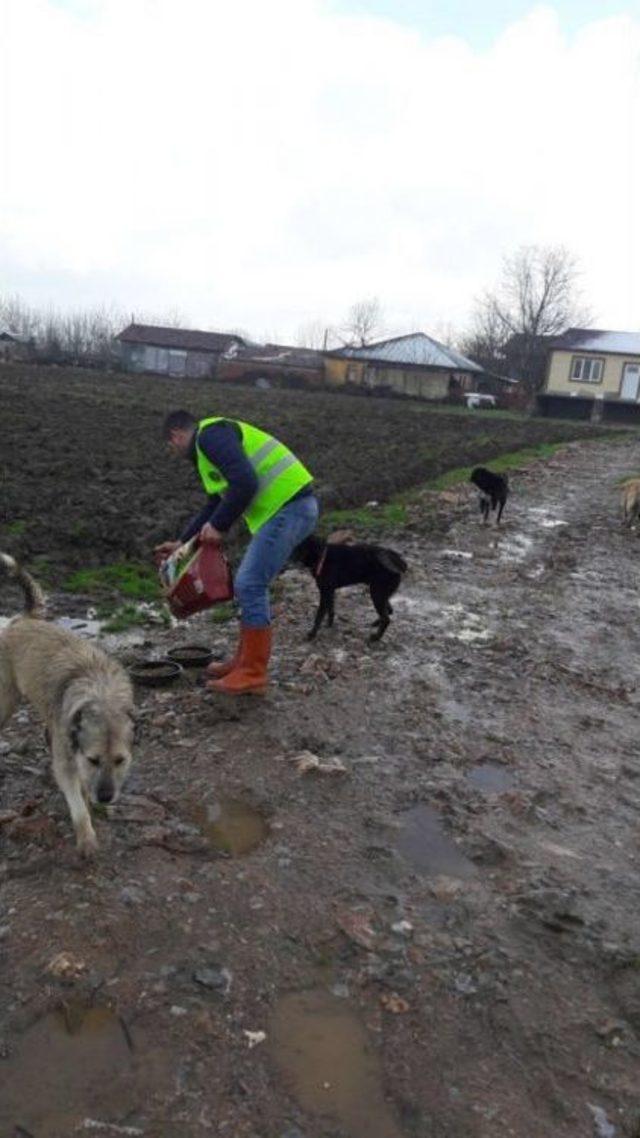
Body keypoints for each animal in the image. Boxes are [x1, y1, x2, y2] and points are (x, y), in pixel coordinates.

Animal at [0, 550, 134, 855]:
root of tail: (23, 619)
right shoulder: (67, 763)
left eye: (120, 760)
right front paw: (86, 836)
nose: (105, 797)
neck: (101, 693)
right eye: (94, 759)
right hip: (7, 700)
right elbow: (76, 802)